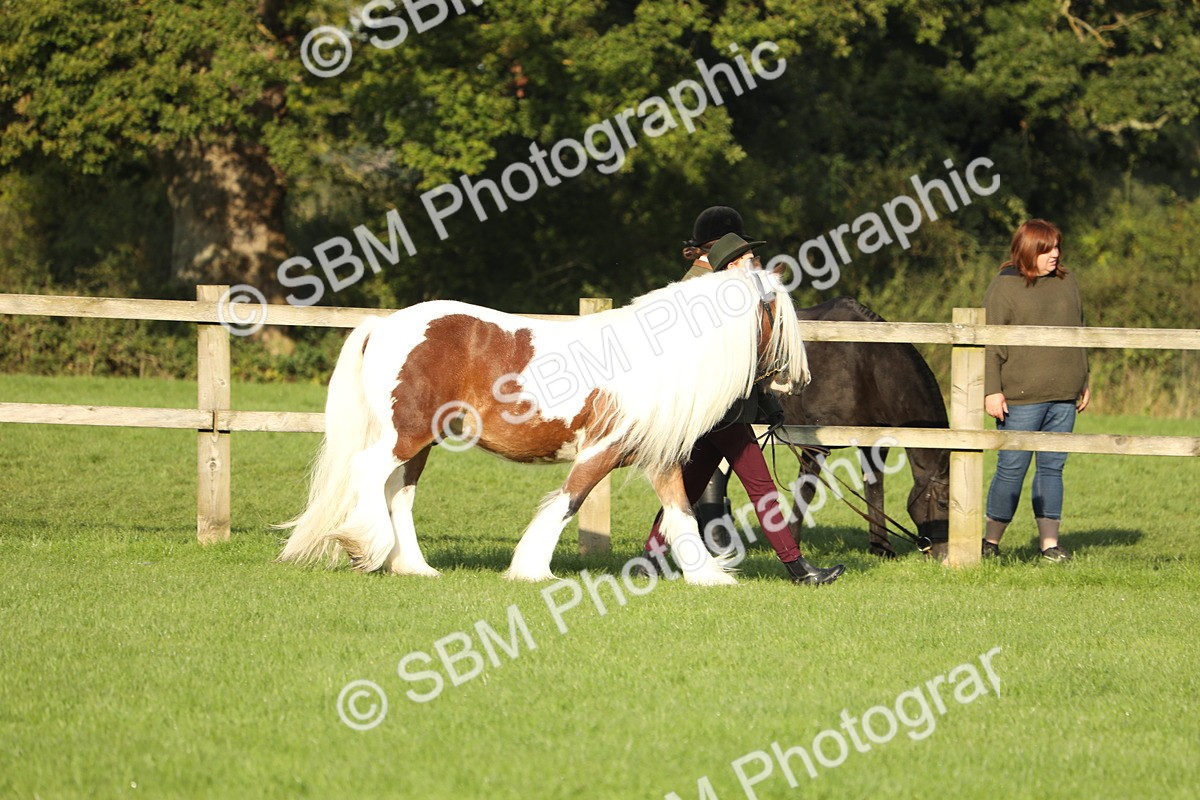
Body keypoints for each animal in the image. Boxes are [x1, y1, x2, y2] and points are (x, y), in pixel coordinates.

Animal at [278, 267, 810, 585]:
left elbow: (679, 514)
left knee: (399, 495)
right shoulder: (602, 450)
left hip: (419, 443)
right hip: (404, 436)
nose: (794, 380)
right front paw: (532, 569)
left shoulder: (657, 459)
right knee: (368, 473)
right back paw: (365, 547)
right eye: (780, 317)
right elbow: (567, 503)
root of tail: (384, 325)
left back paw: (415, 567)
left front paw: (709, 577)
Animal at [696, 296, 950, 557]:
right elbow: (806, 491)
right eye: (943, 503)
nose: (944, 555)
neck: (864, 362)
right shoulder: (815, 445)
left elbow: (874, 488)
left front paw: (881, 548)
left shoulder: (873, 443)